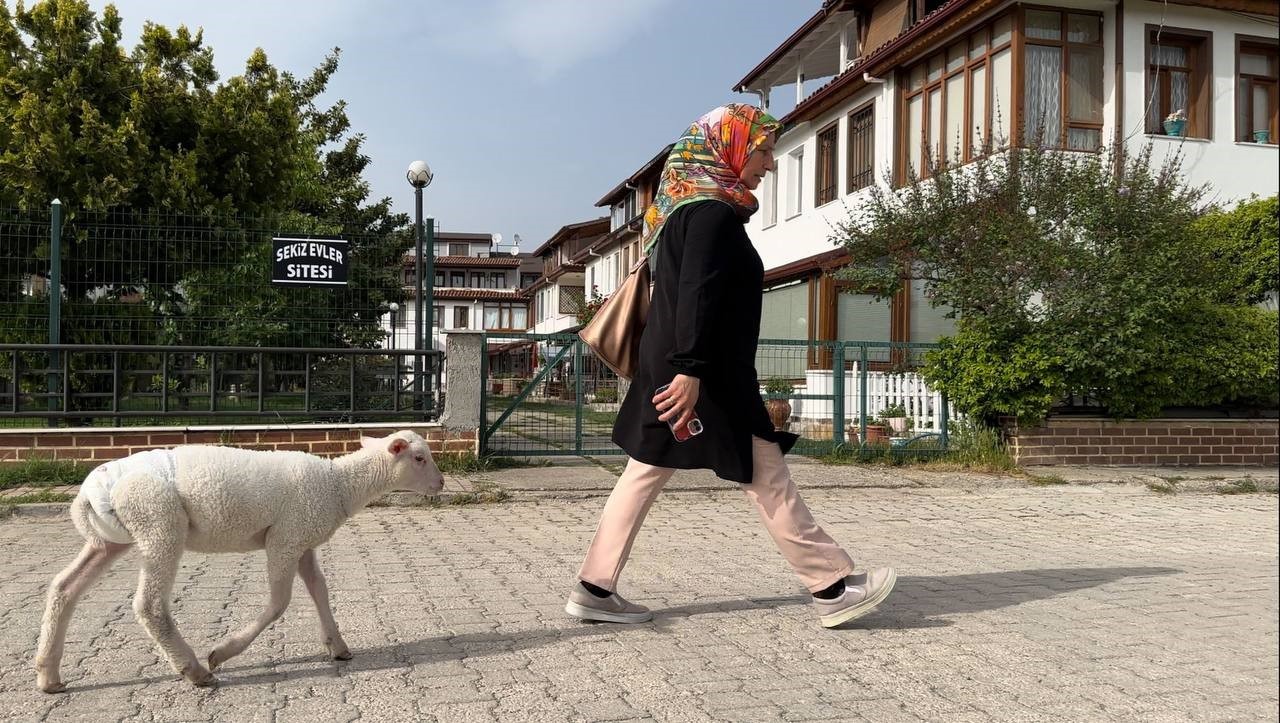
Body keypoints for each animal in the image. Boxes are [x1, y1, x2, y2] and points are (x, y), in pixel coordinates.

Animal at [35, 432, 445, 691]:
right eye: (419, 458)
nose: (441, 484)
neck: (339, 484)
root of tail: (88, 494)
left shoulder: (301, 539)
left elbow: (320, 590)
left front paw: (338, 645)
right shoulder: (284, 539)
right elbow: (279, 603)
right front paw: (223, 651)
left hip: (111, 538)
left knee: (64, 587)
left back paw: (48, 675)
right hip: (159, 523)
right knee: (149, 605)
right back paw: (196, 670)